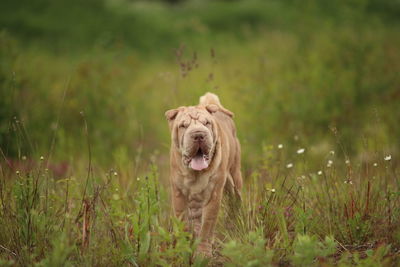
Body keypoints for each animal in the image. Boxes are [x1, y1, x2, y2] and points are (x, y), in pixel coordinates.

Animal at [164, 92, 242, 258]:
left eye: (206, 123)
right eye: (183, 125)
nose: (199, 135)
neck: (195, 174)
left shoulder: (213, 196)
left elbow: (207, 226)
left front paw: (203, 253)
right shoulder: (179, 194)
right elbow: (183, 223)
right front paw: (184, 249)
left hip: (235, 177)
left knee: (236, 201)